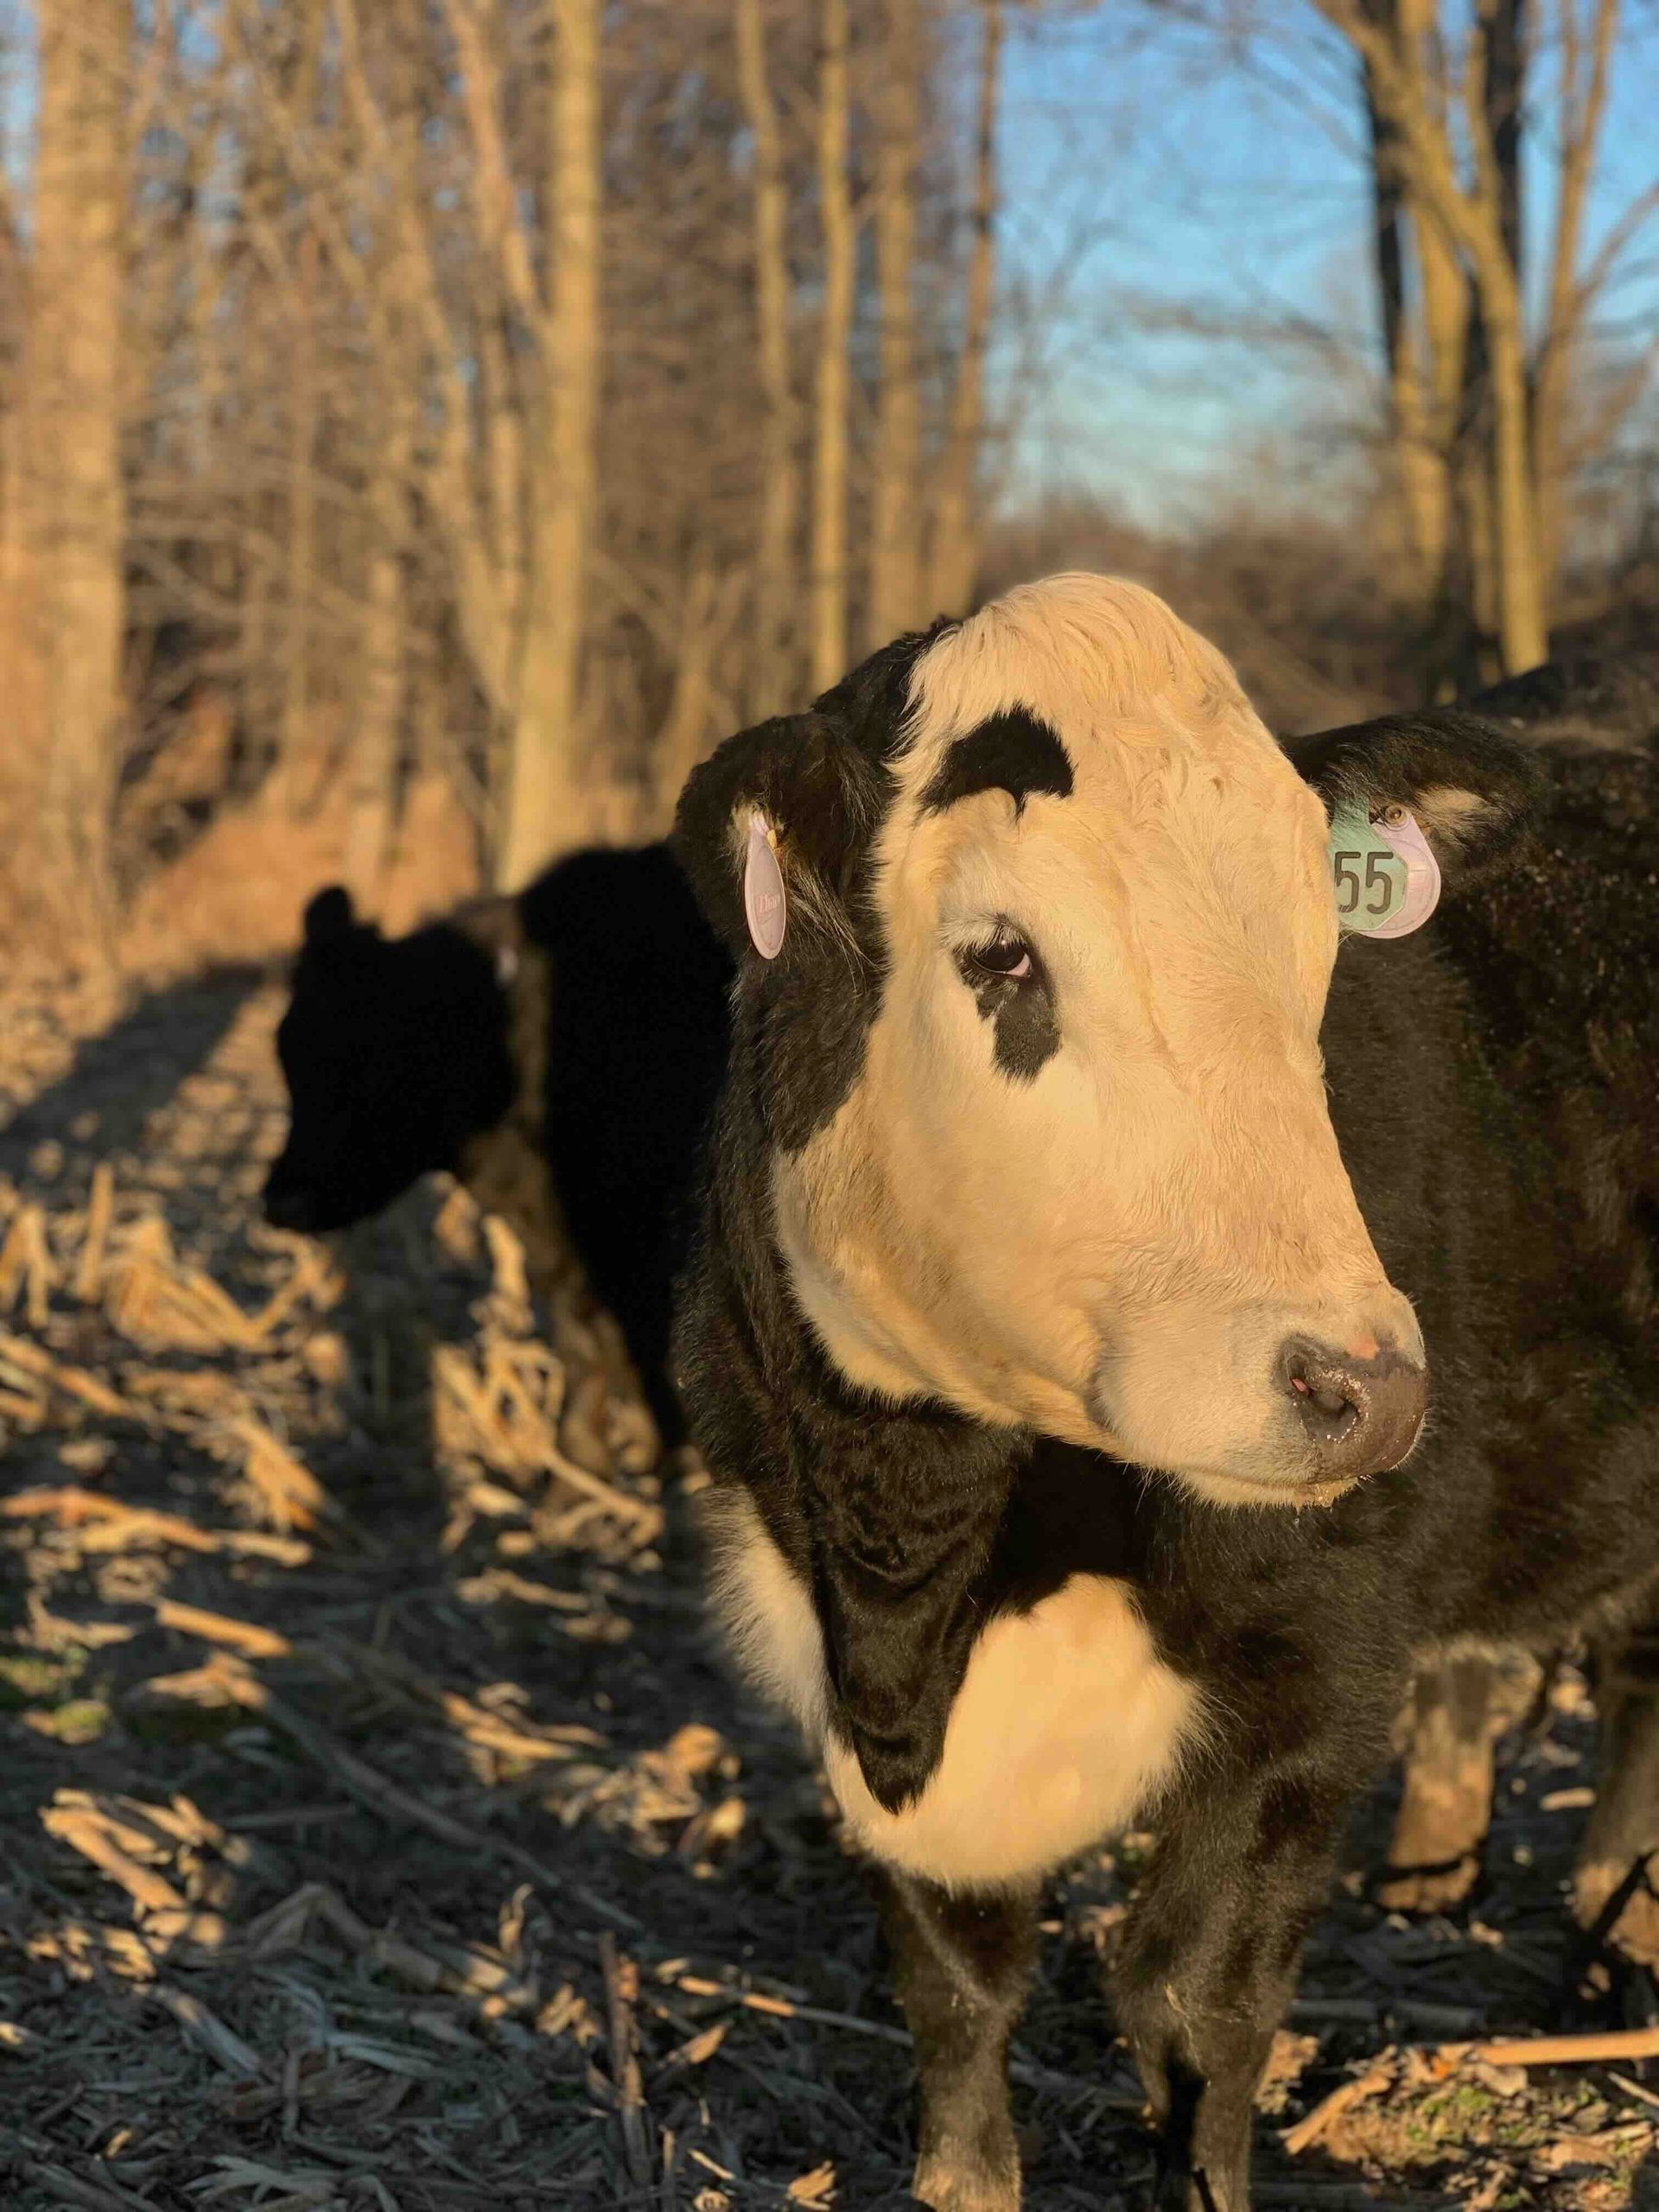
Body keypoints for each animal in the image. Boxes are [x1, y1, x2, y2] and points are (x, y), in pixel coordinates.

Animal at [669, 574, 1659, 2212]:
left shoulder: (1318, 1677)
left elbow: (1187, 1997)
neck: (929, 1565)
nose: (1365, 1388)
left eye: (1322, 958)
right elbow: (955, 1999)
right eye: (1001, 955)